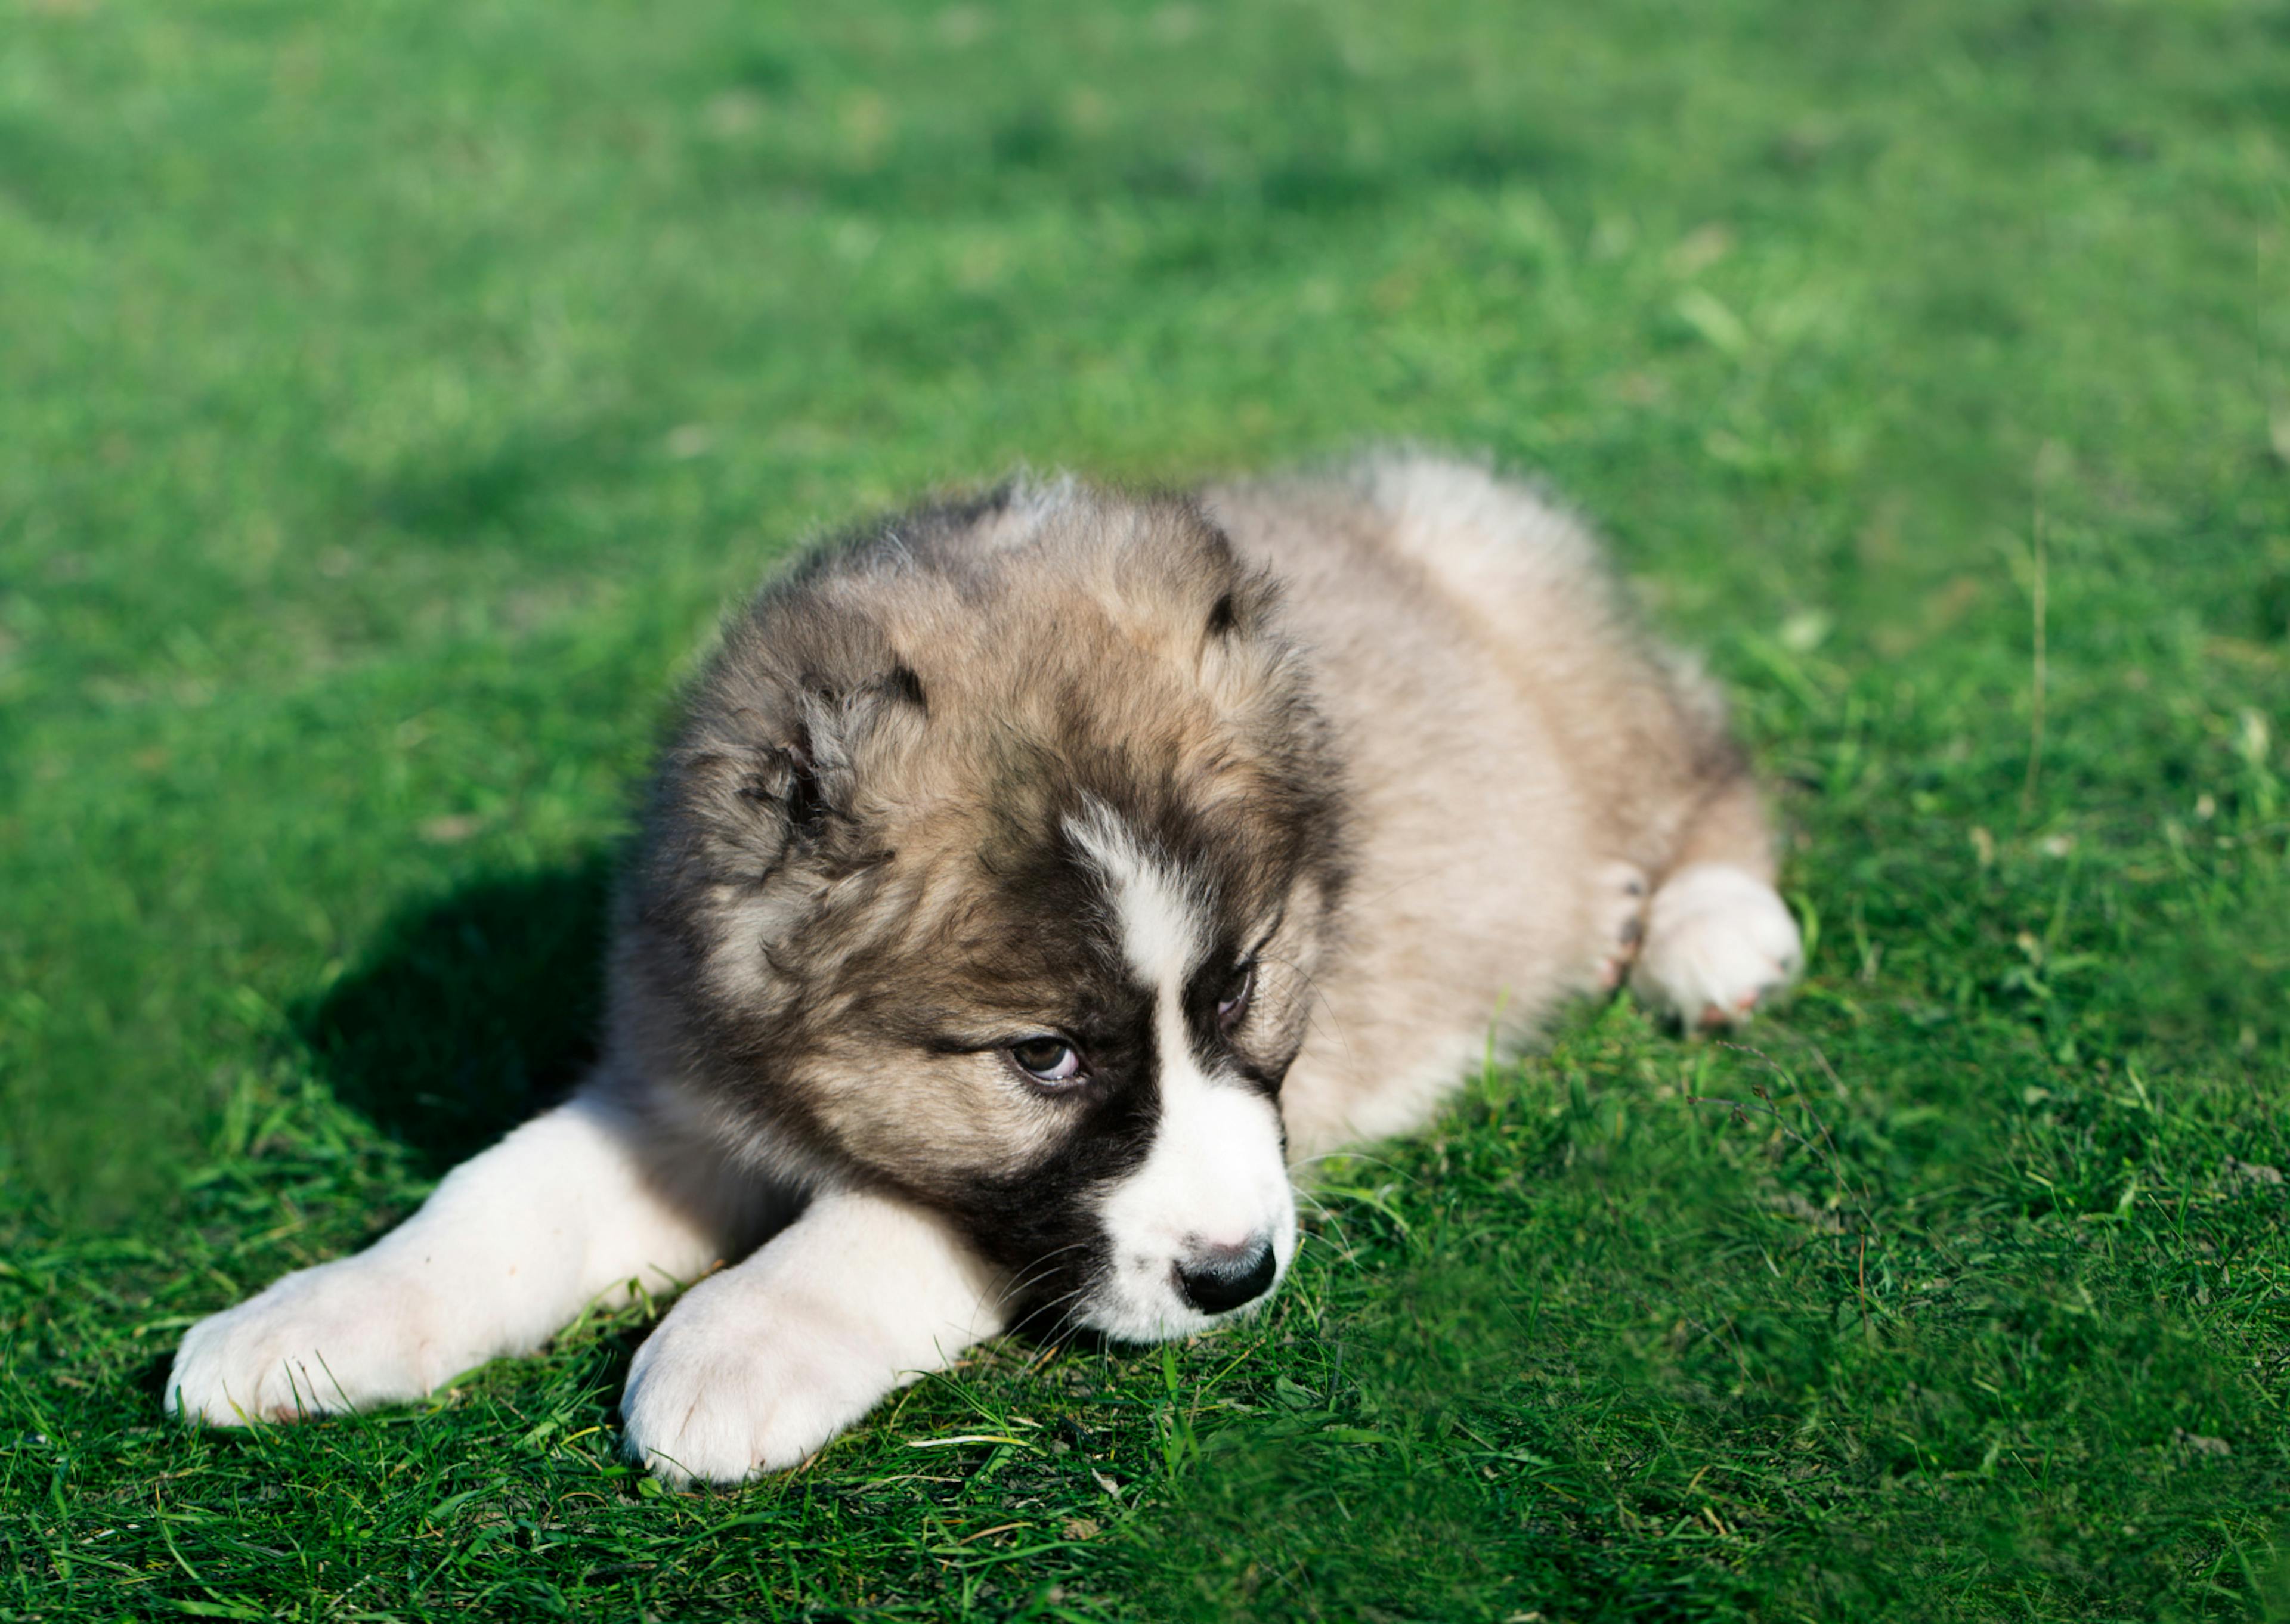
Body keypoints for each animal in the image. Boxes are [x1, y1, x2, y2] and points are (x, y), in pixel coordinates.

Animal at [161, 449, 1804, 1475]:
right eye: (1045, 1057)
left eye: (1239, 989)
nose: (1237, 1278)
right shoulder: (675, 1094)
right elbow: (494, 1199)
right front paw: (311, 1320)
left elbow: (893, 1221)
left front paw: (737, 1340)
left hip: (1553, 650)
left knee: (1709, 759)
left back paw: (1705, 932)